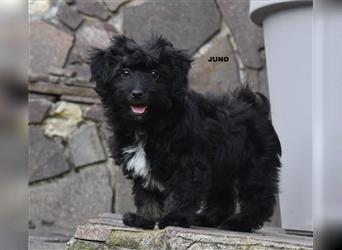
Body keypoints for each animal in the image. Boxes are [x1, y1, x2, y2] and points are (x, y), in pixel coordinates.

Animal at [89, 35, 280, 232]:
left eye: (155, 74)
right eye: (125, 73)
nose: (137, 93)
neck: (149, 125)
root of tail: (254, 105)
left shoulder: (188, 162)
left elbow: (183, 191)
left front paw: (175, 217)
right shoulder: (142, 168)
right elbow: (147, 194)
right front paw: (144, 219)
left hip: (254, 164)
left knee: (257, 195)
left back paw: (241, 222)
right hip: (223, 167)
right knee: (222, 195)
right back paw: (207, 218)